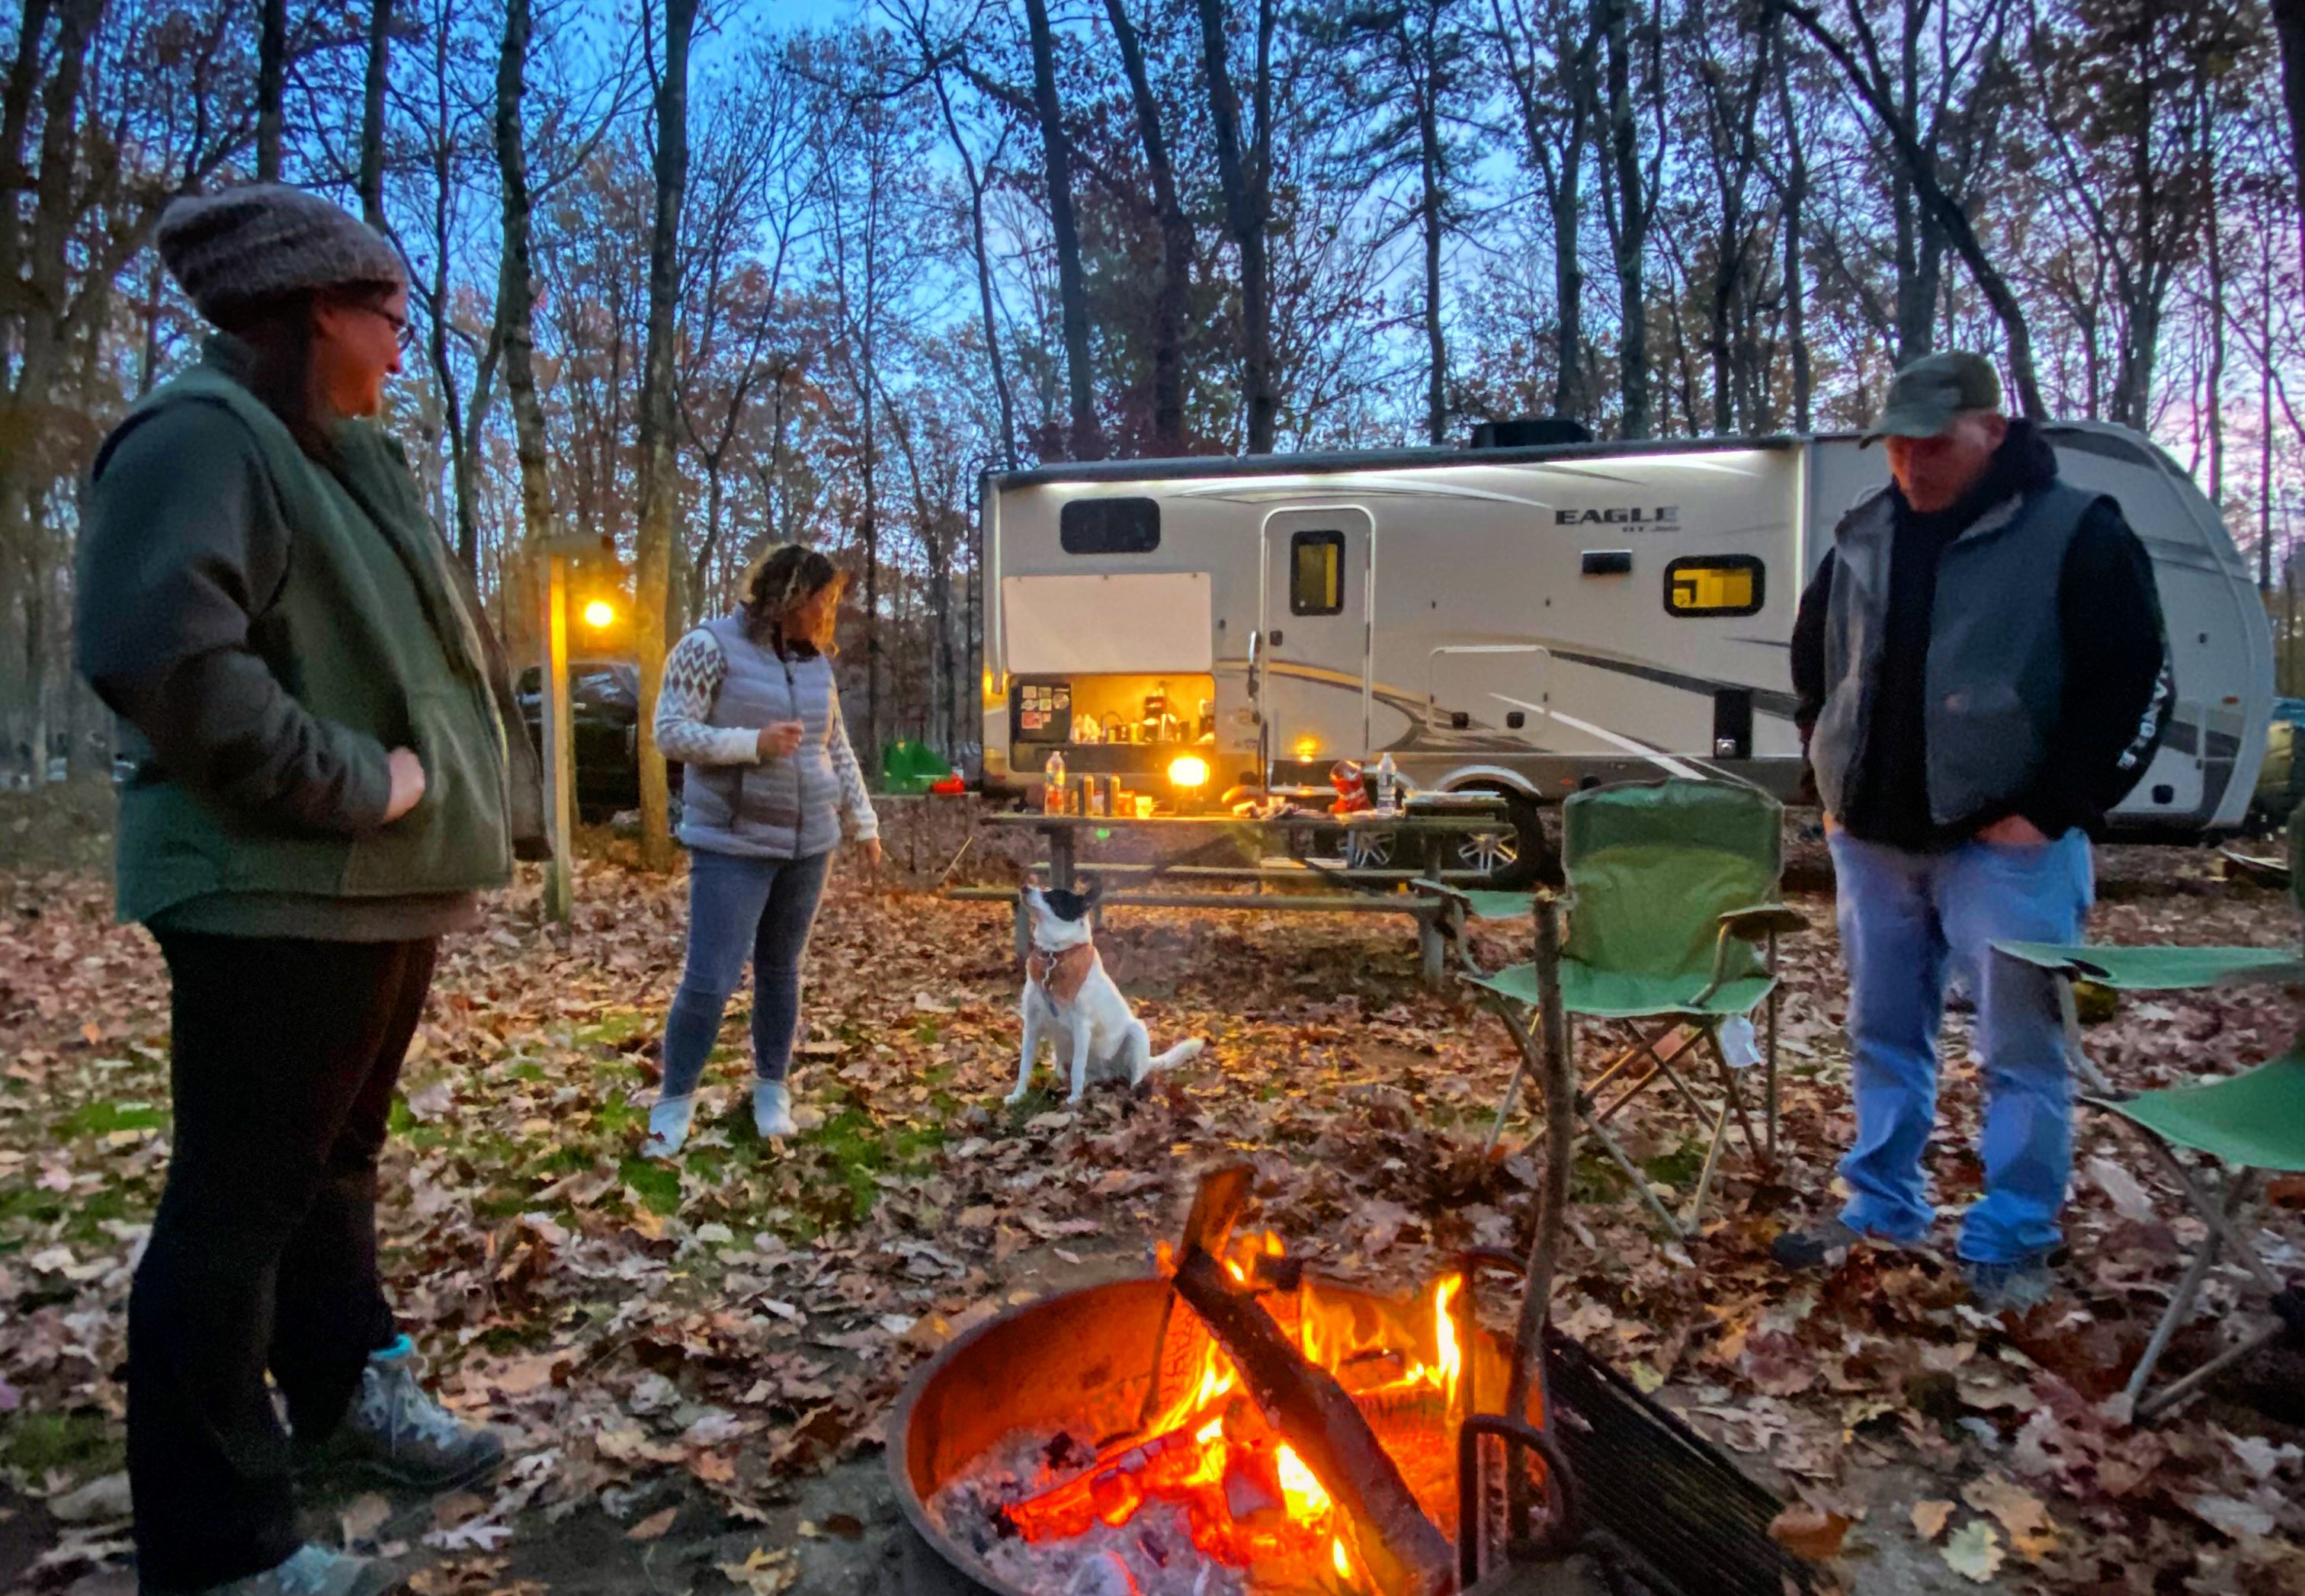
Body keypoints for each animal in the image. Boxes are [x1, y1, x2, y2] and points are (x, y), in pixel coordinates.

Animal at [1018, 880, 1217, 1102]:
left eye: (1052, 897)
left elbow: (1078, 1067)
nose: (1024, 887)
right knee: (1069, 1071)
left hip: (1136, 1032)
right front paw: (1017, 1096)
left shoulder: (1082, 1027)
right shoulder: (1031, 1024)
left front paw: (1075, 1100)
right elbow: (1024, 1067)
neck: (1054, 957)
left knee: (1134, 1076)